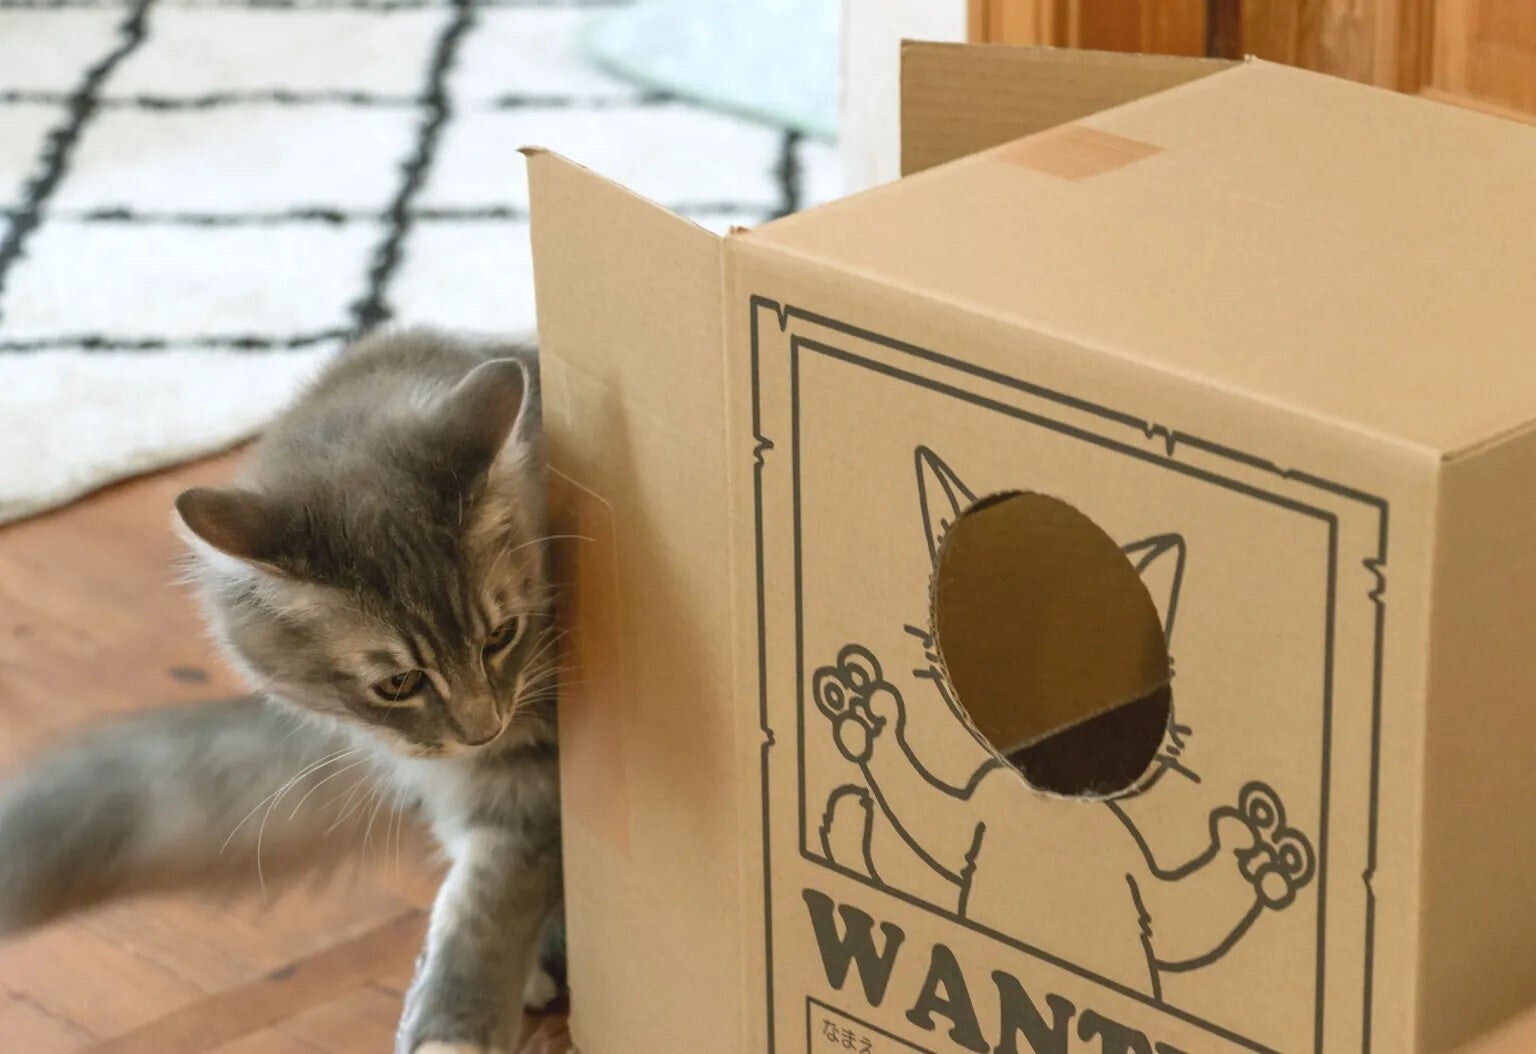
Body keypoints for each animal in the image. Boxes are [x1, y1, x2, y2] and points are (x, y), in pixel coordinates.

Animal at [0, 327, 565, 1054]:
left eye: (501, 636)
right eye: (398, 683)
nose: (483, 727)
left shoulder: (534, 780)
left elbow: (486, 906)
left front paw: (451, 1032)